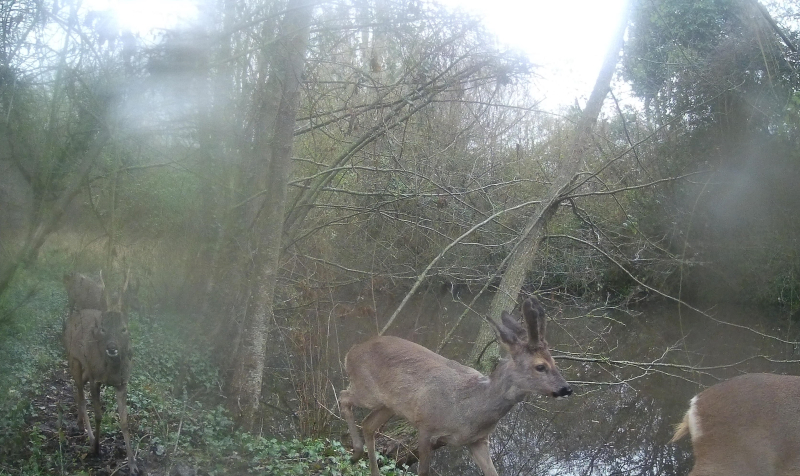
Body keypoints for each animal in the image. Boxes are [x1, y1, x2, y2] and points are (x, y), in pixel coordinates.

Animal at [64, 274, 139, 474]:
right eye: (103, 328)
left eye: (124, 328)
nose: (112, 347)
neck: (110, 372)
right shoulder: (95, 379)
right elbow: (98, 415)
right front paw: (97, 448)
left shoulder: (122, 383)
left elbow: (124, 421)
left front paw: (132, 464)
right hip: (73, 359)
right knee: (81, 397)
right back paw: (86, 434)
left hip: (85, 370)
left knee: (79, 392)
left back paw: (80, 424)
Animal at [340, 296, 572, 474]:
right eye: (540, 366)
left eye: (555, 362)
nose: (566, 389)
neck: (468, 410)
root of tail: (352, 351)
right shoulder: (426, 426)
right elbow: (423, 472)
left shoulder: (478, 441)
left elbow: (493, 472)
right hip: (367, 391)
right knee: (344, 396)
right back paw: (356, 452)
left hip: (389, 405)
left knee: (368, 424)